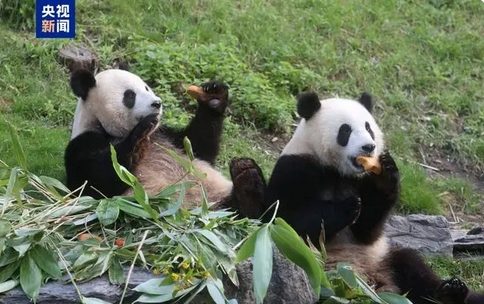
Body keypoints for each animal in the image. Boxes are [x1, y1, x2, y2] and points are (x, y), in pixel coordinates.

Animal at [63, 66, 264, 215]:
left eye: (146, 87)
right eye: (130, 95)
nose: (157, 103)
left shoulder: (167, 136)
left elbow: (199, 147)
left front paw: (214, 96)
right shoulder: (85, 142)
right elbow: (95, 180)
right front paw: (139, 137)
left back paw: (247, 177)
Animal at [260, 91, 484, 304]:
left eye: (368, 128)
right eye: (345, 130)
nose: (369, 147)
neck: (338, 171)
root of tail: (373, 286)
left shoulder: (363, 180)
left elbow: (368, 229)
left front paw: (385, 176)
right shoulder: (295, 169)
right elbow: (288, 218)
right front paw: (347, 206)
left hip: (383, 258)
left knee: (412, 265)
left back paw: (449, 292)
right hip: (321, 273)